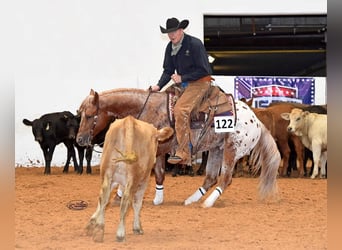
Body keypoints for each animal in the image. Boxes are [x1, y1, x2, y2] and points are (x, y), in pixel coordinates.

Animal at [76, 88, 280, 207]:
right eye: (79, 113)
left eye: (89, 115)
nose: (79, 139)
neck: (148, 109)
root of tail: (257, 121)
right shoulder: (158, 152)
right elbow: (158, 174)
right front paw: (157, 199)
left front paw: (118, 195)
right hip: (216, 149)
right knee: (211, 178)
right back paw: (191, 200)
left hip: (231, 149)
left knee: (225, 179)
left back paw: (208, 203)